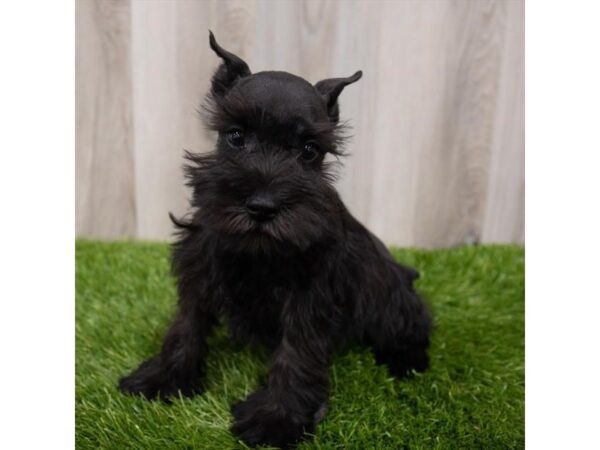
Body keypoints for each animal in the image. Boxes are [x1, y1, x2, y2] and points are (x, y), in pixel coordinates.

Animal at [120, 30, 432, 446]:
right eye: (235, 136)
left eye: (309, 150)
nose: (263, 207)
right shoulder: (200, 272)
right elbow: (186, 325)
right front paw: (162, 378)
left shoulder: (310, 295)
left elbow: (297, 352)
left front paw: (277, 418)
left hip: (387, 293)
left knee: (413, 324)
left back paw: (406, 361)